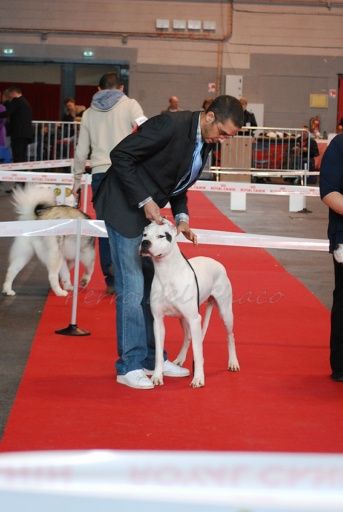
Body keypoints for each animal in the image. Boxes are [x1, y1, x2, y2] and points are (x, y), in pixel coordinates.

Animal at [139, 218, 239, 386]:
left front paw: (198, 378)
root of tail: (217, 263)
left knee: (229, 336)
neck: (167, 273)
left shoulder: (194, 319)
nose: (145, 243)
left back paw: (233, 362)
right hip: (183, 318)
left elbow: (198, 353)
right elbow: (158, 353)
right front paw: (157, 376)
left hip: (225, 312)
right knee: (187, 337)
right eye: (144, 235)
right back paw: (180, 359)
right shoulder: (158, 322)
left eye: (161, 236)